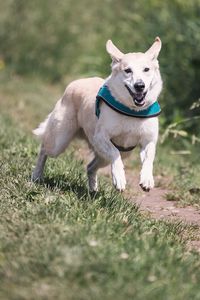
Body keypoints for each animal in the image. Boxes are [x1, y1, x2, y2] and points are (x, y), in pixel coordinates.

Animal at [31, 37, 162, 192]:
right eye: (128, 70)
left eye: (146, 69)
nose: (139, 86)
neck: (132, 111)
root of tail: (76, 82)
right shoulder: (100, 137)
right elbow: (114, 153)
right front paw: (119, 178)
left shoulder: (148, 141)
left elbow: (149, 159)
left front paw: (147, 179)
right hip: (59, 141)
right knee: (44, 149)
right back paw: (36, 176)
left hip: (113, 155)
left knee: (90, 166)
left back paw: (93, 189)